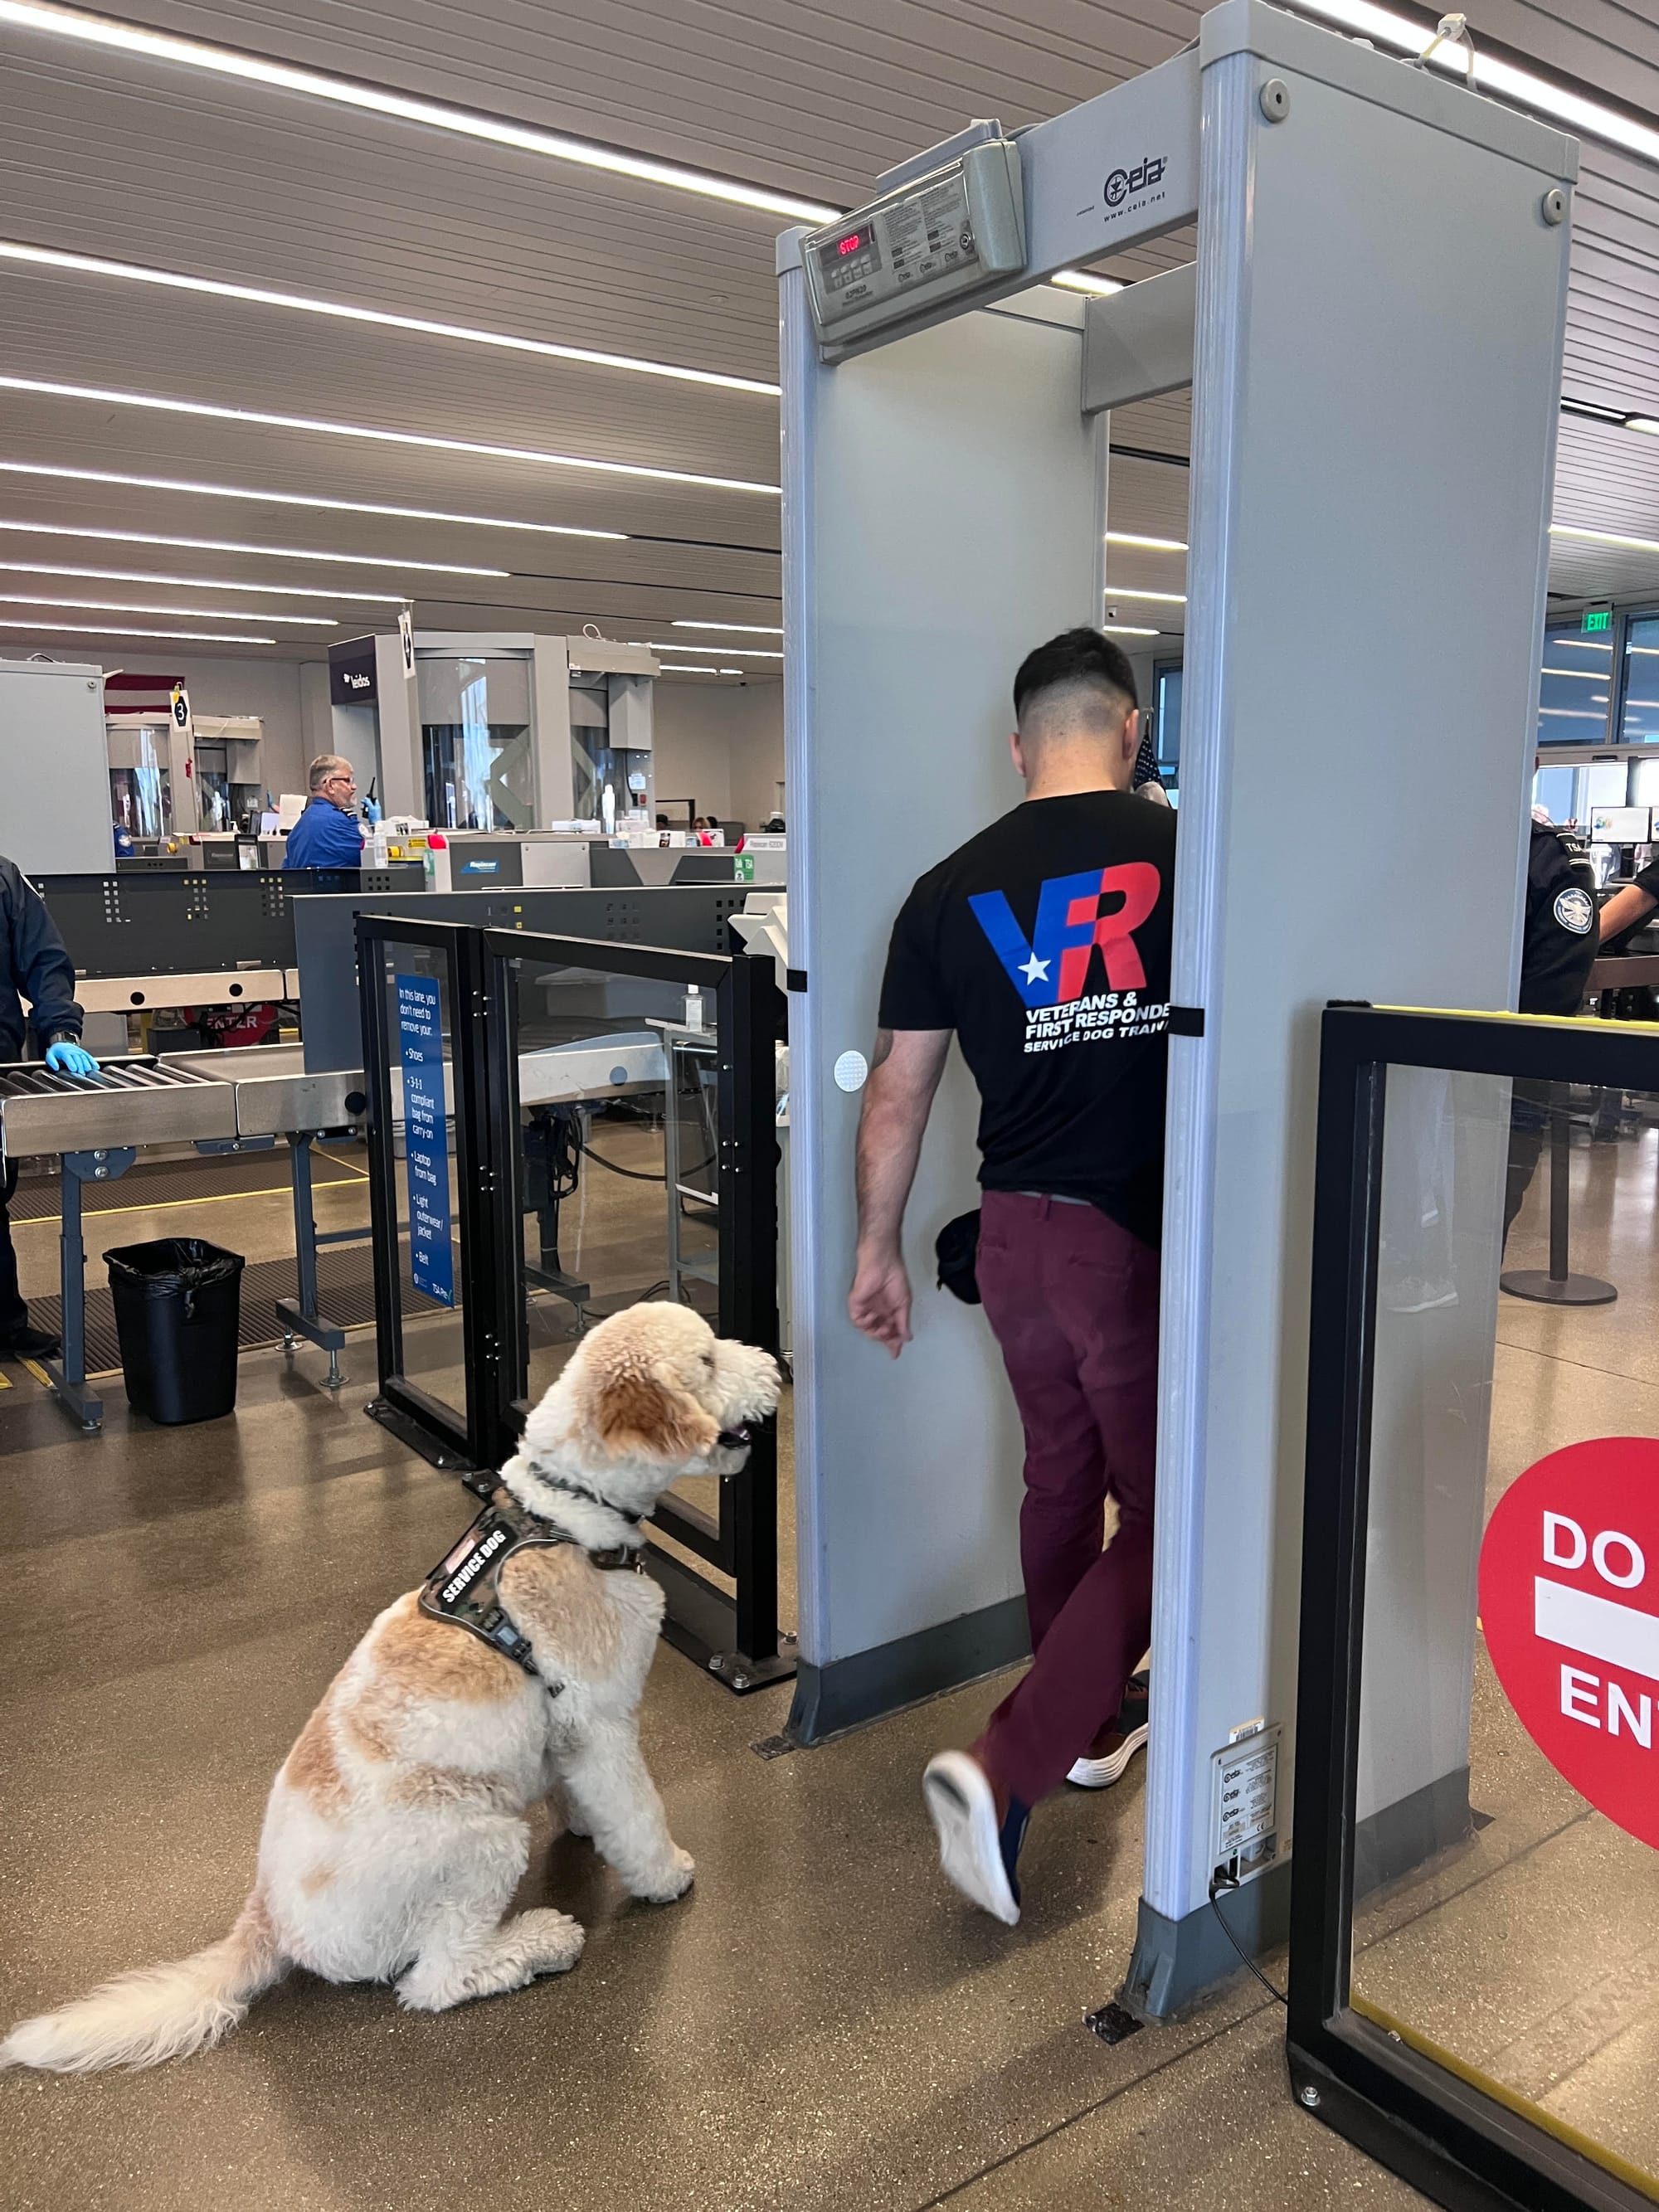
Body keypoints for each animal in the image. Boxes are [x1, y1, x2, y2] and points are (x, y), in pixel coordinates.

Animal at [1, 1300, 778, 2061]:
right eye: (706, 1359)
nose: (777, 1365)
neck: (566, 1511)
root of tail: (269, 1918)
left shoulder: (567, 1728)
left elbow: (584, 1789)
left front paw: (587, 1821)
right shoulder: (602, 1720)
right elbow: (638, 1809)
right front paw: (663, 1873)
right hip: (479, 1843)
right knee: (436, 1980)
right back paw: (539, 1942)